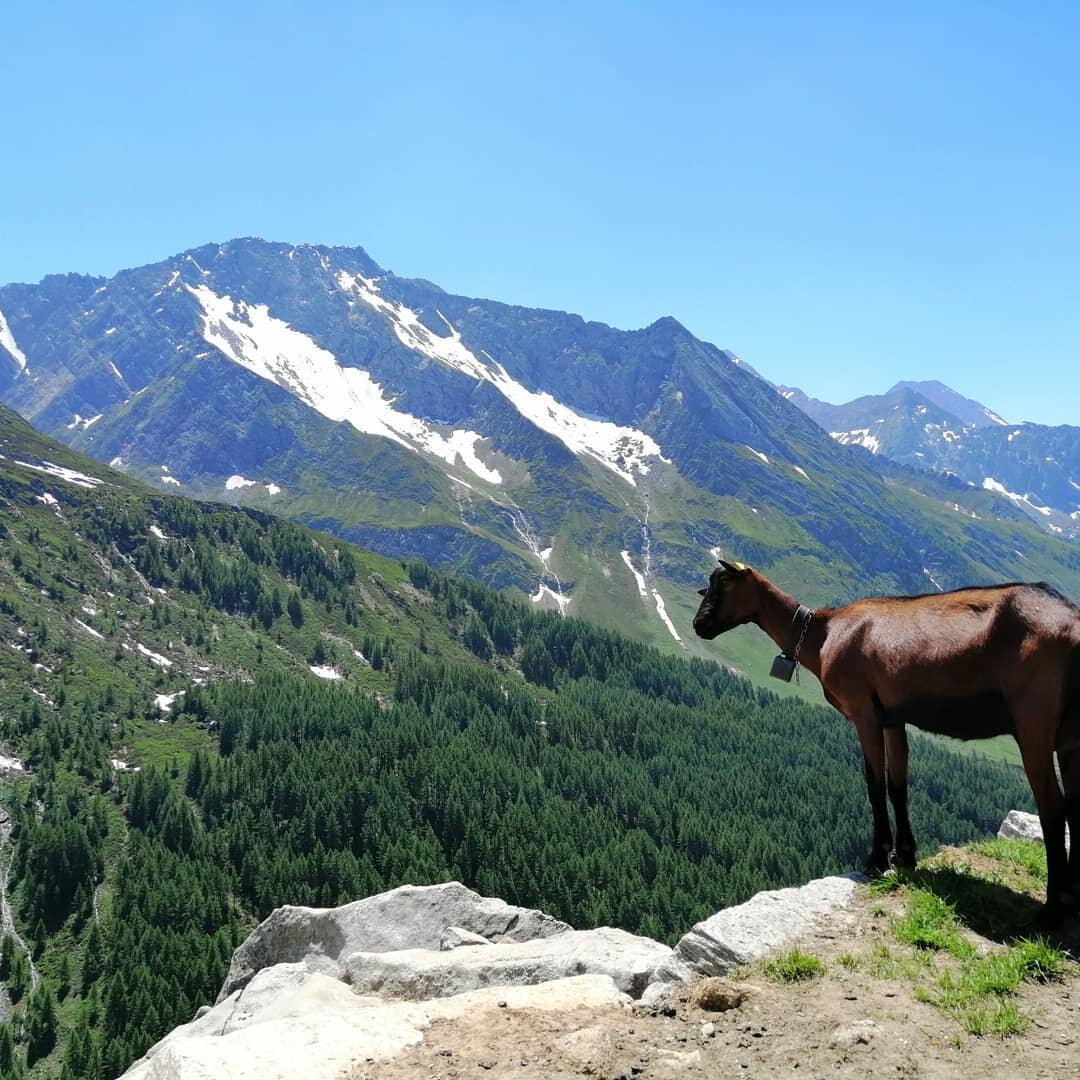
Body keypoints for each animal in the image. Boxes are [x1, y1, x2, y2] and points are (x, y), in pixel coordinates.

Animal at [692, 560, 1080, 923]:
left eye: (723, 582)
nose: (699, 625)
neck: (823, 634)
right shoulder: (894, 717)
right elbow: (898, 785)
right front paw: (905, 854)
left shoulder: (864, 711)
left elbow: (874, 784)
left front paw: (876, 858)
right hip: (1068, 736)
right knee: (1074, 805)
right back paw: (1071, 897)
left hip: (1033, 722)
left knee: (1052, 806)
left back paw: (1051, 909)